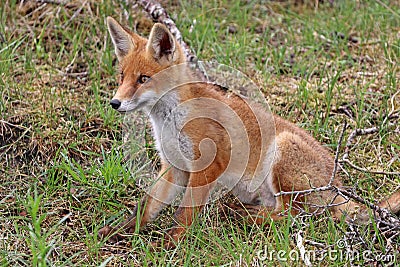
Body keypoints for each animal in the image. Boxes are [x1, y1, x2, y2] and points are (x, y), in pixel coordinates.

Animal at [99, 17, 400, 250]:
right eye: (122, 76)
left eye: (143, 79)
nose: (115, 103)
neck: (170, 121)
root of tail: (337, 186)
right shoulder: (175, 167)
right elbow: (145, 207)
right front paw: (118, 231)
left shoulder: (209, 164)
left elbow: (184, 214)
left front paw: (168, 244)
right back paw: (240, 212)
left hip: (282, 153)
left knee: (294, 217)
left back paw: (242, 217)